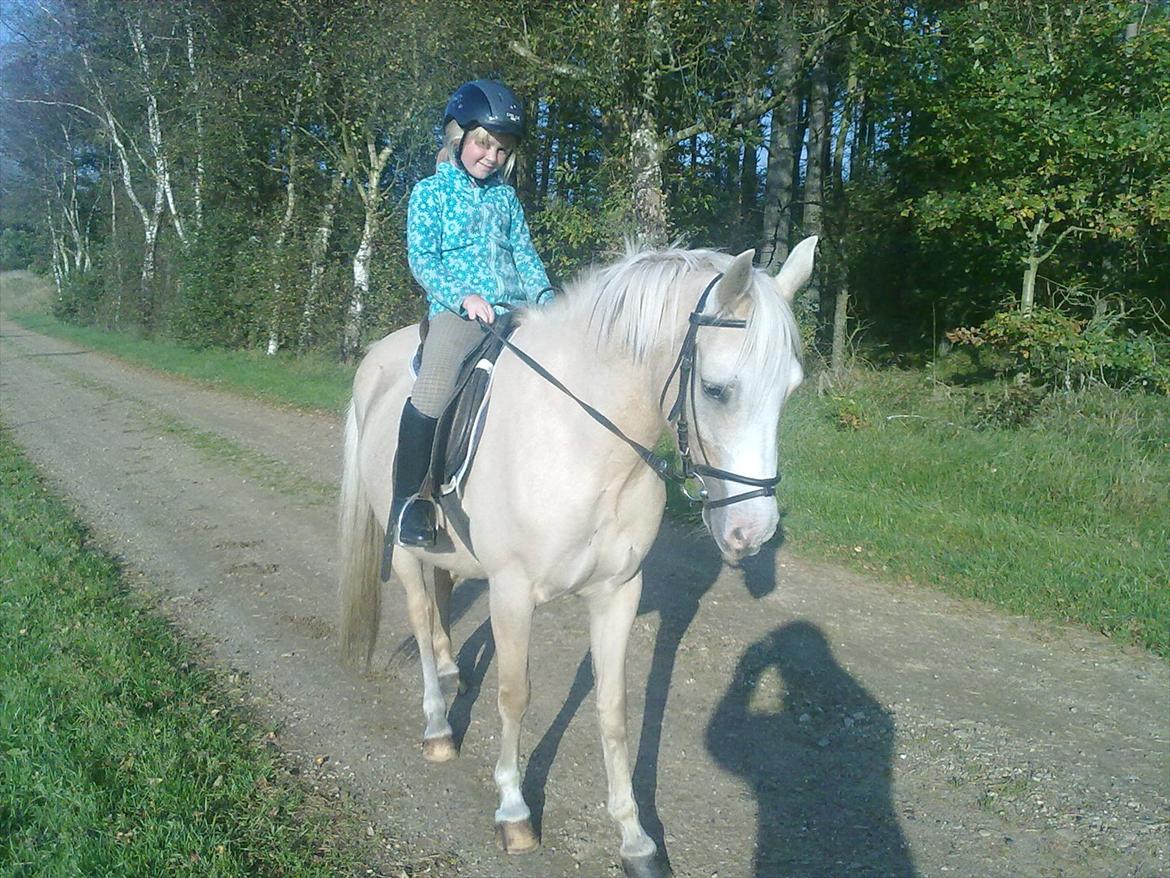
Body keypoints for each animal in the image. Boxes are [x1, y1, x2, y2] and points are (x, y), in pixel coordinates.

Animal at [336, 237, 814, 875]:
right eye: (716, 389)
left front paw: (636, 839)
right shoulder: (513, 592)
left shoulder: (619, 592)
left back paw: (450, 670)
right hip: (405, 546)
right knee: (417, 611)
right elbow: (515, 694)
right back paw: (437, 726)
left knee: (440, 599)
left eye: (790, 390)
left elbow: (613, 708)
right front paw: (514, 812)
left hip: (448, 549)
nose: (751, 531)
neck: (584, 441)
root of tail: (375, 361)